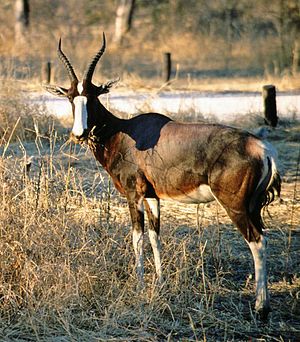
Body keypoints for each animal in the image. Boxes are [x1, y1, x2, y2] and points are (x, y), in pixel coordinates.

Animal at [44, 32, 282, 318]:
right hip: (253, 206)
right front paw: (159, 281)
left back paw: (261, 307)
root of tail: (263, 149)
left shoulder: (134, 195)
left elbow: (137, 237)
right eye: (71, 97)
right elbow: (155, 236)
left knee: (258, 242)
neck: (125, 133)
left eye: (91, 96)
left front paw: (139, 284)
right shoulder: (152, 196)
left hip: (235, 206)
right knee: (263, 238)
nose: (78, 134)